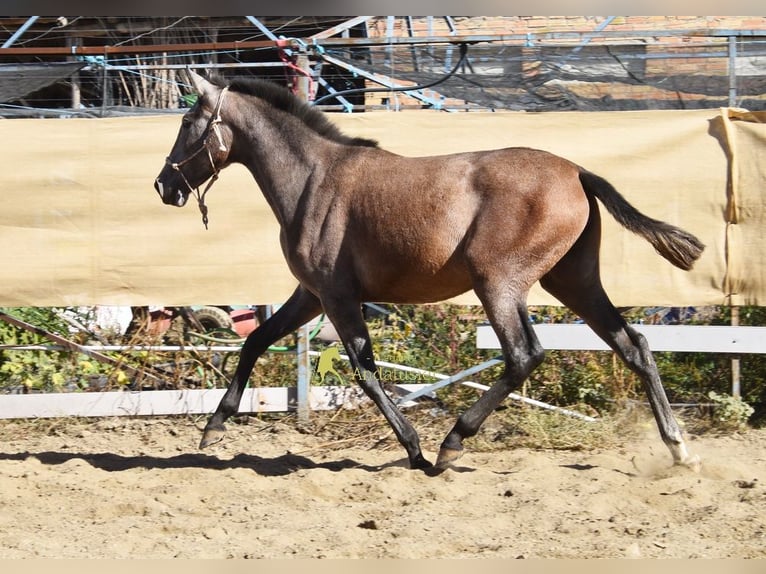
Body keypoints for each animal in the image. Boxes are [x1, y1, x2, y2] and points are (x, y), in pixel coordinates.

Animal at [154, 70, 704, 472]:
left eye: (186, 122)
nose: (164, 185)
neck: (312, 180)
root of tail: (577, 172)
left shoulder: (337, 297)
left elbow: (366, 372)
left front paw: (416, 449)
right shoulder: (311, 294)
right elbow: (255, 340)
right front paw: (213, 427)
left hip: (499, 284)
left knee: (524, 355)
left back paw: (452, 443)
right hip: (574, 280)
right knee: (633, 344)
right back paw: (678, 448)